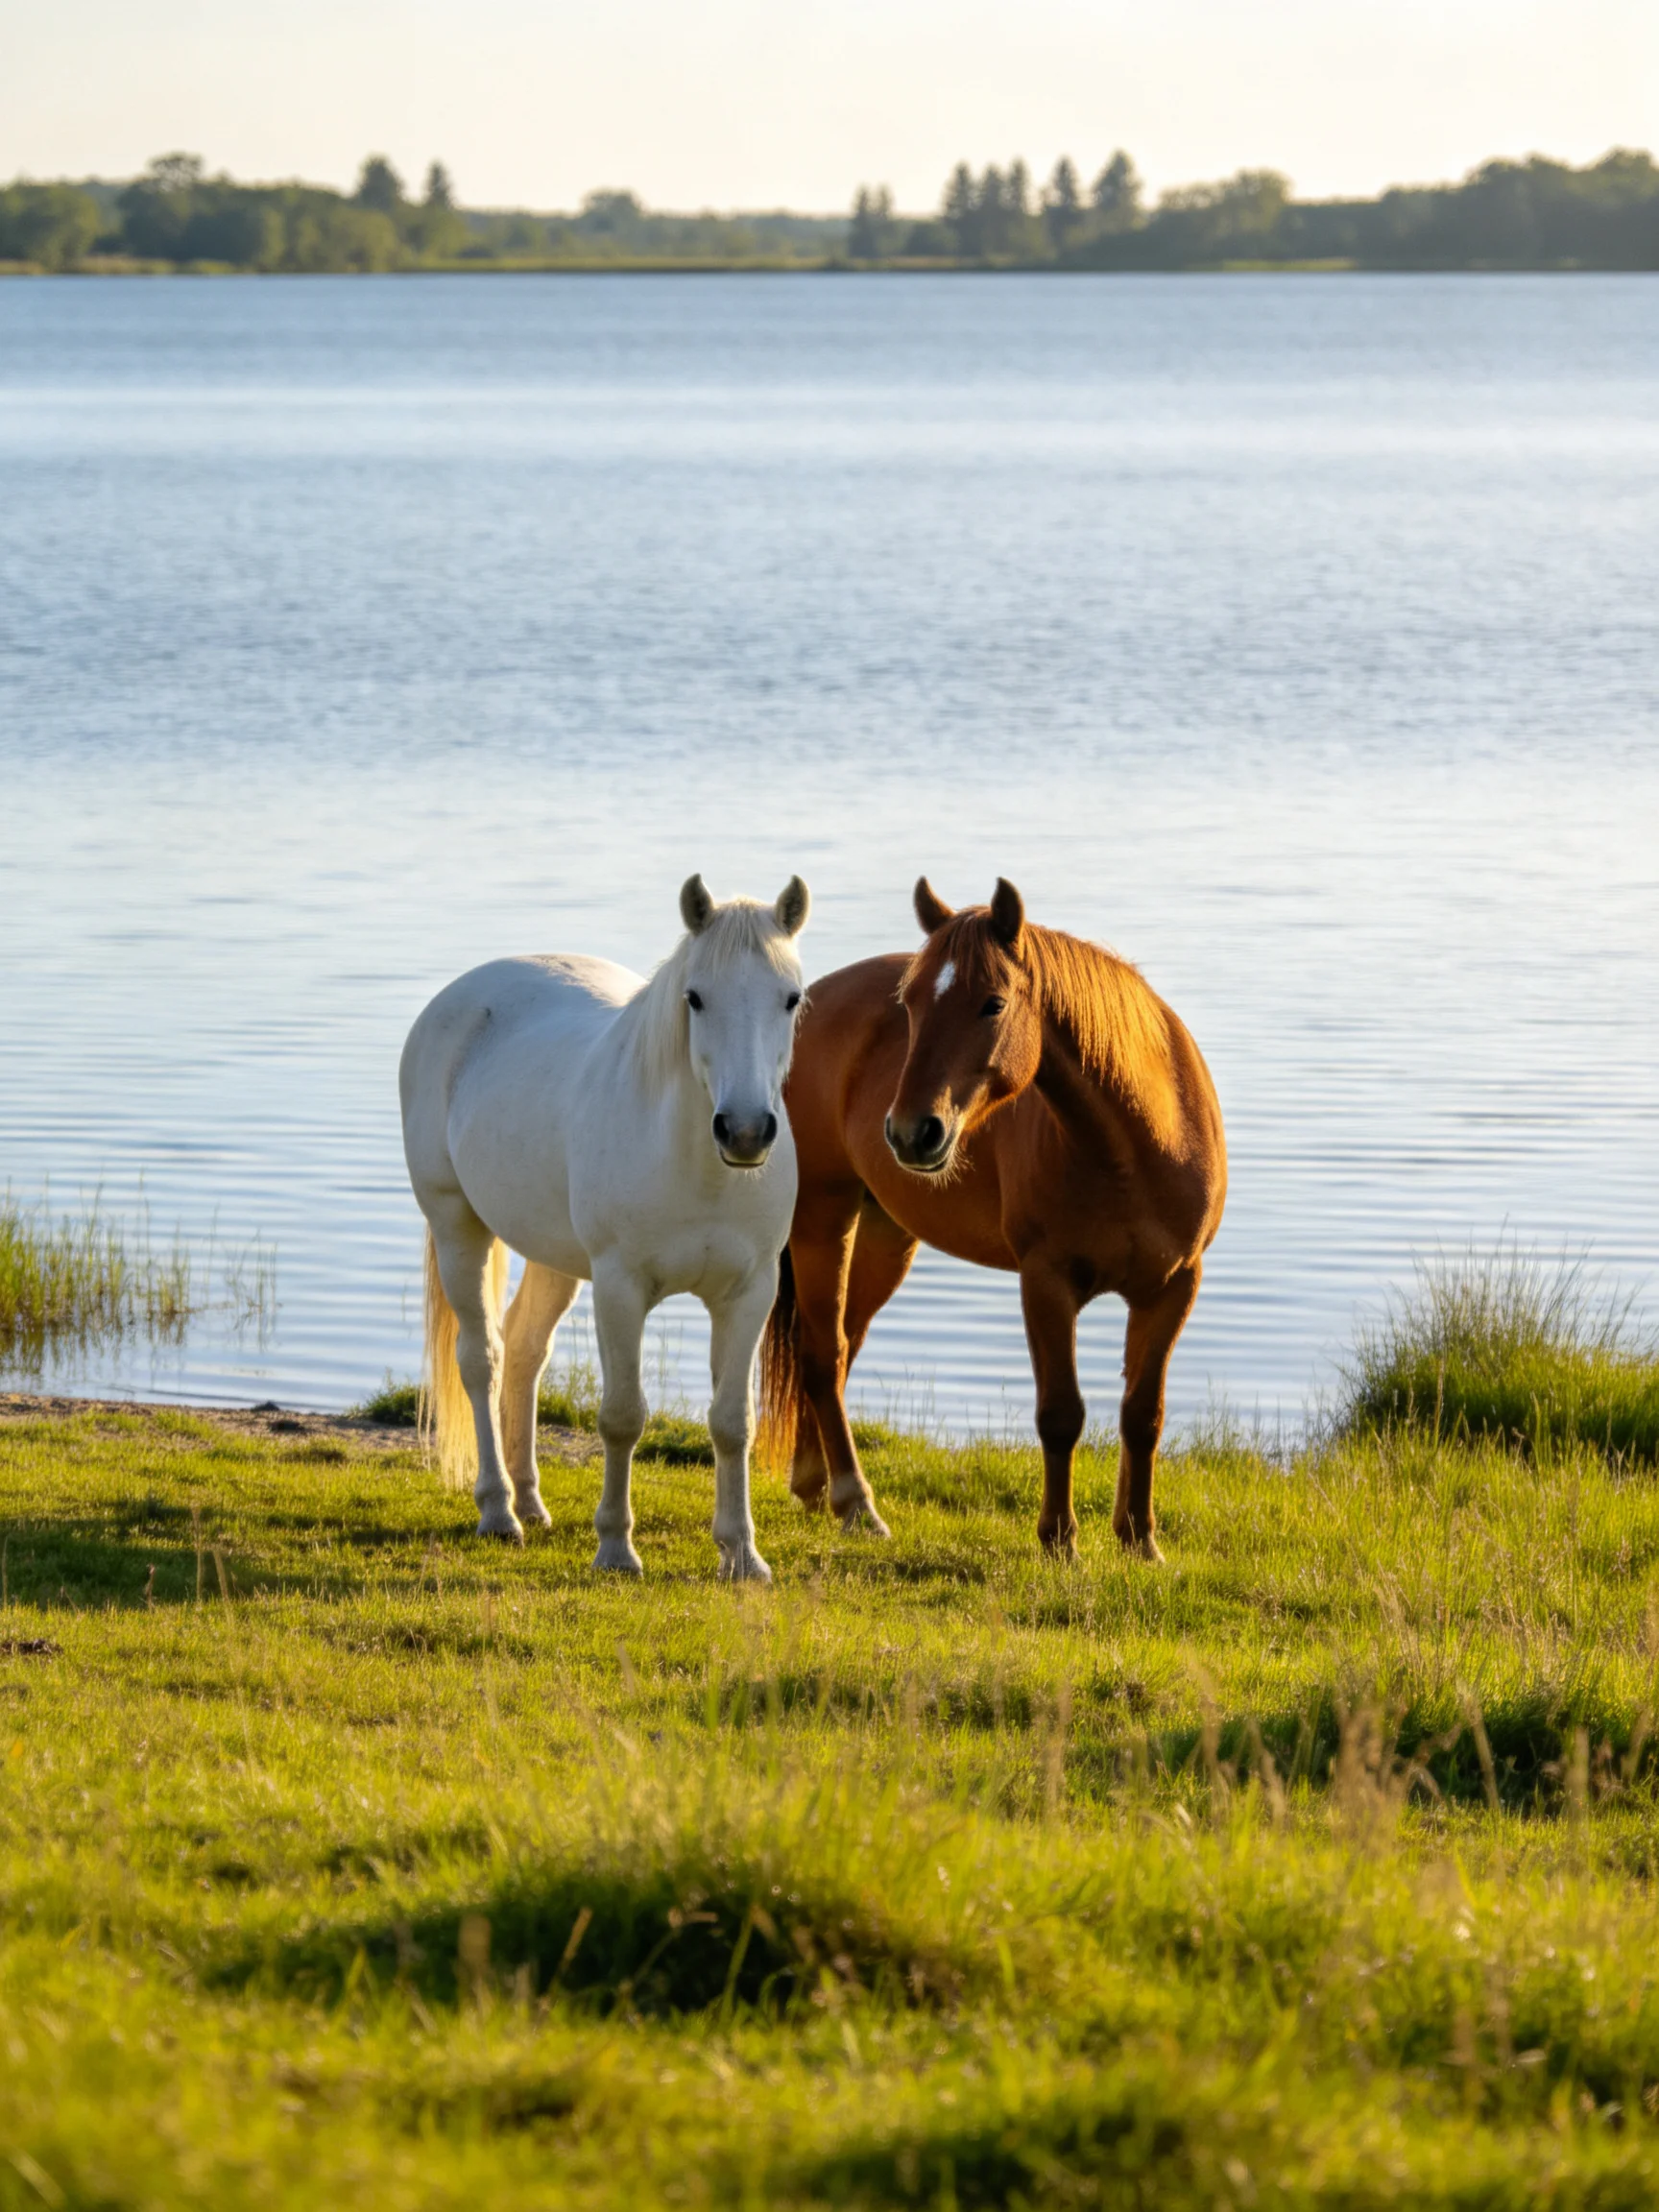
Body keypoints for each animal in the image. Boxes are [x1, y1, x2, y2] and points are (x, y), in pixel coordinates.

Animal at [401, 873, 810, 1579]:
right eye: (695, 998)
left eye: (791, 998)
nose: (745, 1131)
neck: (698, 1169)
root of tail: (456, 999)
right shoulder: (621, 1289)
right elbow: (622, 1416)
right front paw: (617, 1548)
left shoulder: (750, 1292)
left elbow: (733, 1422)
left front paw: (741, 1555)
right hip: (458, 1229)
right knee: (483, 1360)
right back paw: (499, 1511)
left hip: (554, 1258)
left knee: (525, 1351)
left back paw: (530, 1502)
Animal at [761, 877, 1225, 1560]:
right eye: (911, 1003)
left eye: (993, 1004)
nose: (910, 1131)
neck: (1135, 1147)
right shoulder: (1046, 1283)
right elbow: (1061, 1414)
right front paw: (1059, 1541)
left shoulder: (1174, 1286)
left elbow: (1143, 1414)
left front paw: (1140, 1541)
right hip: (824, 1213)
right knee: (823, 1351)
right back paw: (856, 1503)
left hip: (884, 1233)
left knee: (838, 1346)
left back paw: (816, 1484)